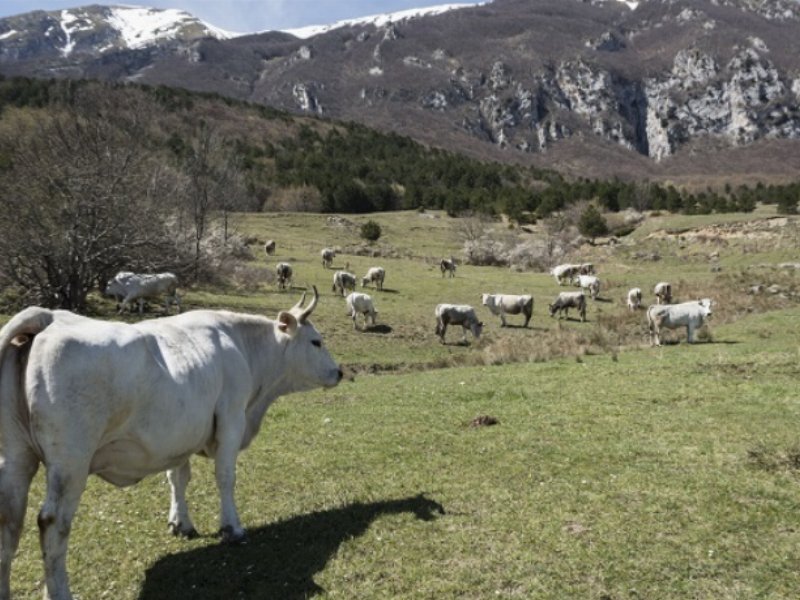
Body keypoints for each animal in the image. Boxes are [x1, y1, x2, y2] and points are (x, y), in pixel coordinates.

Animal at [0, 286, 340, 600]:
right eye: (316, 342)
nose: (339, 371)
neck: (242, 347)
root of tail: (49, 317)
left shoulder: (180, 434)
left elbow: (178, 477)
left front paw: (181, 522)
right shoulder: (231, 418)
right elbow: (225, 477)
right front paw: (232, 528)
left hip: (16, 457)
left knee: (9, 523)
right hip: (71, 461)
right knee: (52, 523)